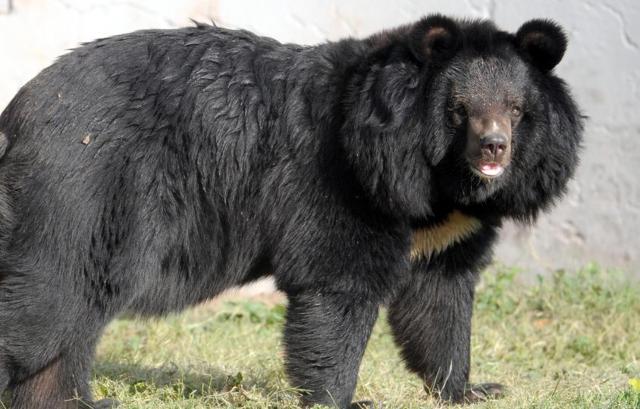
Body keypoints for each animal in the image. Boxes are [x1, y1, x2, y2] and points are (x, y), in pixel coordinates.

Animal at [0, 14, 582, 409]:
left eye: (515, 109)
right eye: (461, 109)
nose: (494, 148)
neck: (434, 181)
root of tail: (17, 112)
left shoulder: (447, 230)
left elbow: (439, 302)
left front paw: (472, 389)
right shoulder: (343, 181)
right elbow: (338, 285)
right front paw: (345, 398)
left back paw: (78, 401)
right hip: (83, 193)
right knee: (47, 301)